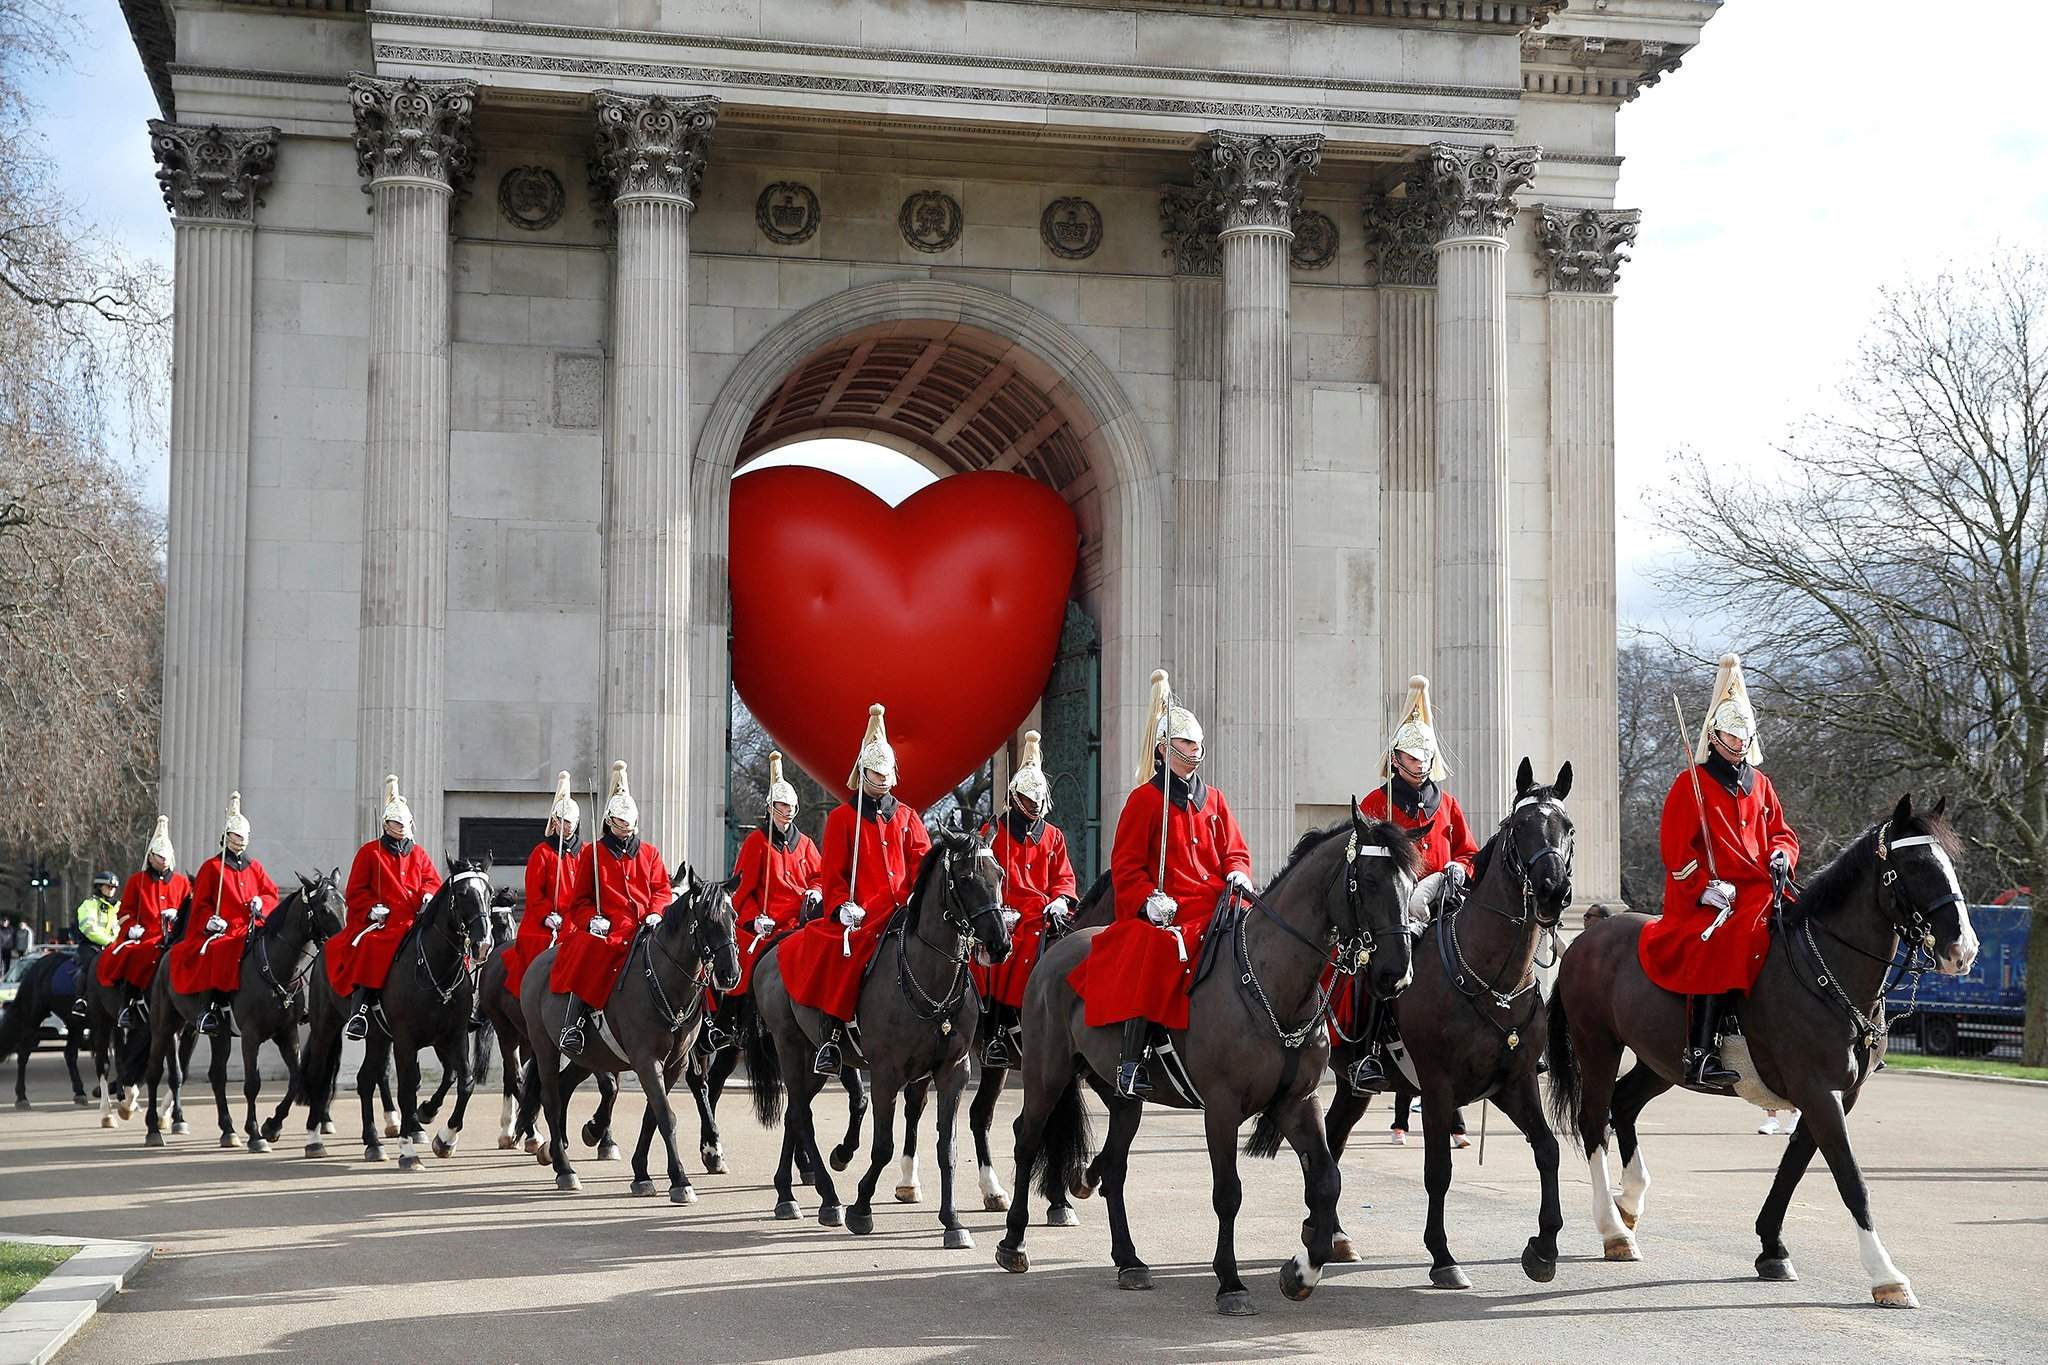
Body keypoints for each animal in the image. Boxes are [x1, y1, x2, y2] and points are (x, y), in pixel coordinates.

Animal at [1556, 794, 1974, 1309]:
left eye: (1949, 863)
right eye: (1914, 866)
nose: (1963, 950)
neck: (1826, 971)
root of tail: (1586, 938)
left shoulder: (1836, 1096)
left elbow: (1793, 1168)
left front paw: (1771, 1248)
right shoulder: (1818, 1091)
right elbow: (1851, 1180)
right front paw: (1886, 1274)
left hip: (1662, 1062)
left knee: (1625, 1103)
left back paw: (1630, 1201)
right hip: (1598, 1046)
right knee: (1594, 1121)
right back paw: (1613, 1229)